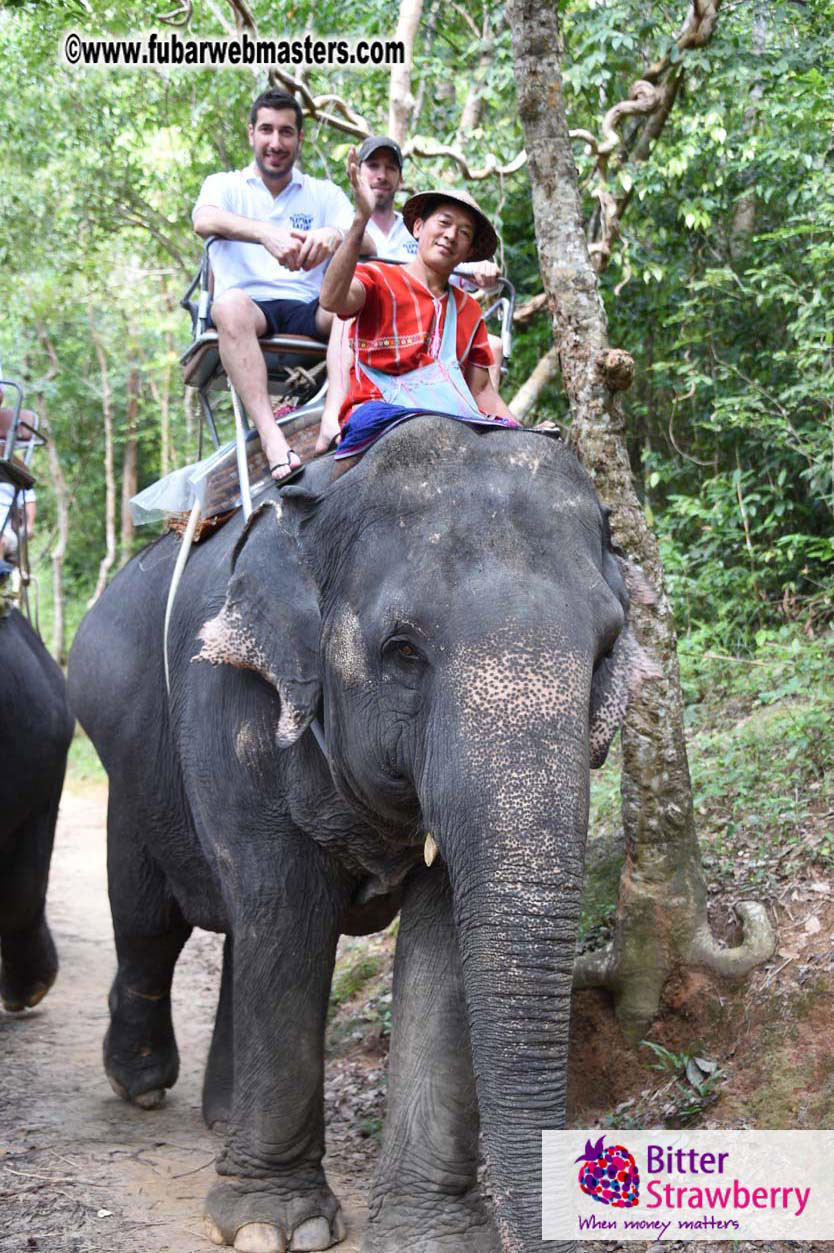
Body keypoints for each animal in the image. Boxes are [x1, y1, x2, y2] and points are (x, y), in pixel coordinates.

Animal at [67, 417, 652, 1253]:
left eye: (607, 651)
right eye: (403, 652)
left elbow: (441, 938)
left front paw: (432, 1235)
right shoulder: (236, 705)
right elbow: (286, 907)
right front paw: (275, 1225)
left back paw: (221, 1116)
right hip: (130, 756)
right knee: (153, 918)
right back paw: (142, 1085)